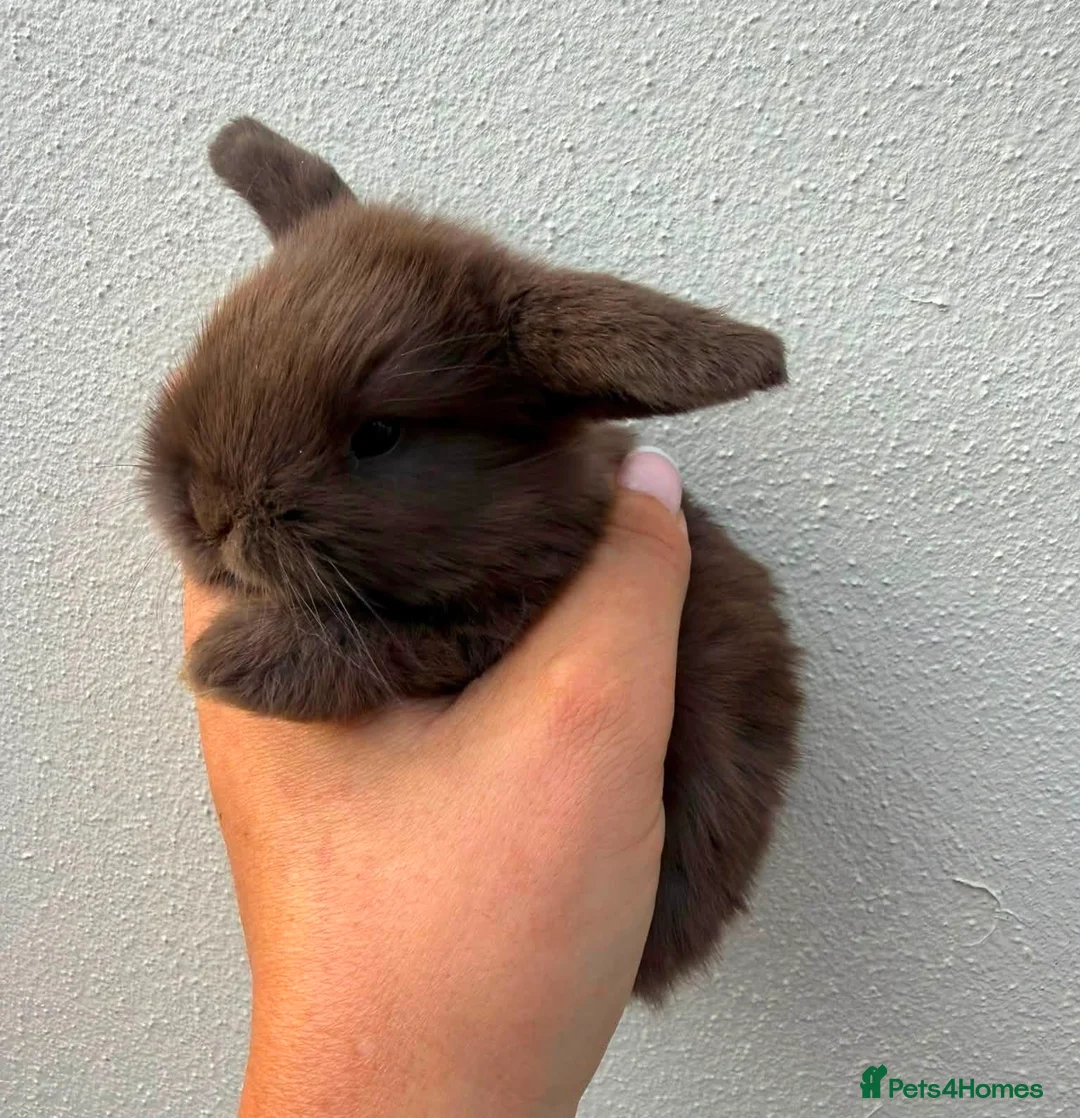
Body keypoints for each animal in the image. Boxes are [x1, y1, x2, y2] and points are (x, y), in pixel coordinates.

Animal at [140, 117, 802, 1002]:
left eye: (380, 435)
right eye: (215, 341)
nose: (211, 515)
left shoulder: (480, 627)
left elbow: (372, 644)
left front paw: (230, 662)